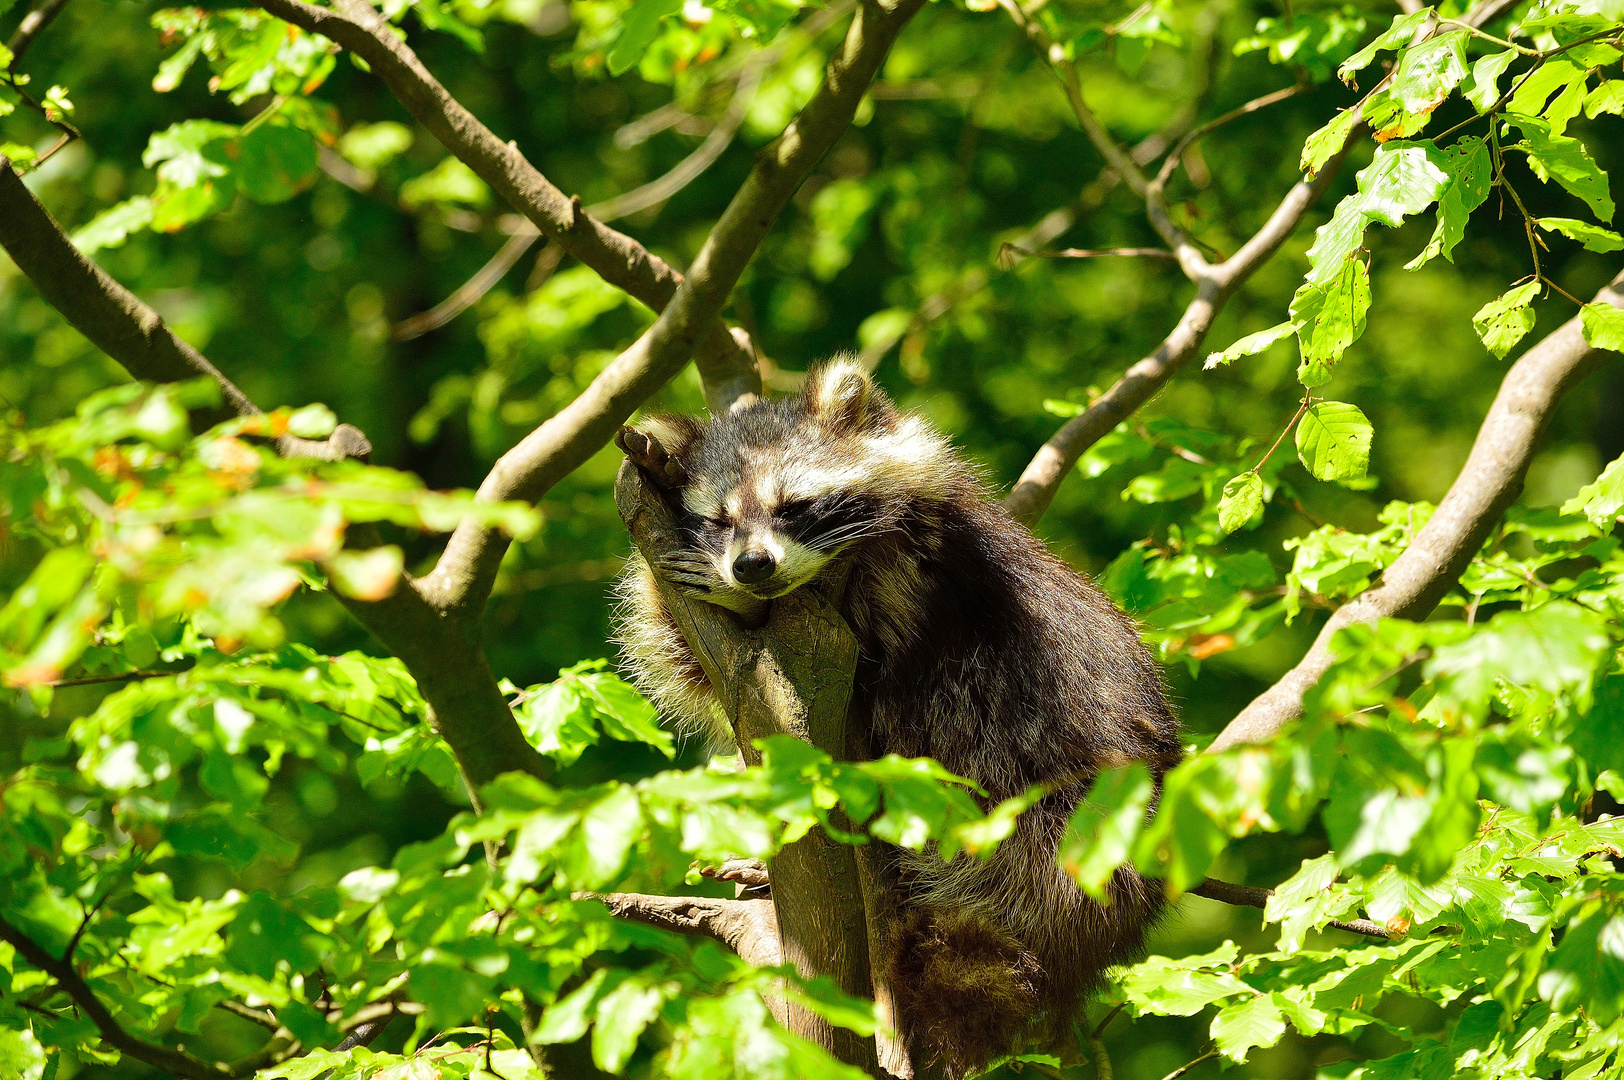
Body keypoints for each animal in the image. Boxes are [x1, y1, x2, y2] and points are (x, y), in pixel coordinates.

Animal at [610, 355, 1182, 1071]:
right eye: (719, 520)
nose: (750, 566)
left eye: (793, 507)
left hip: (1055, 831)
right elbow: (691, 655)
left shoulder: (911, 577)